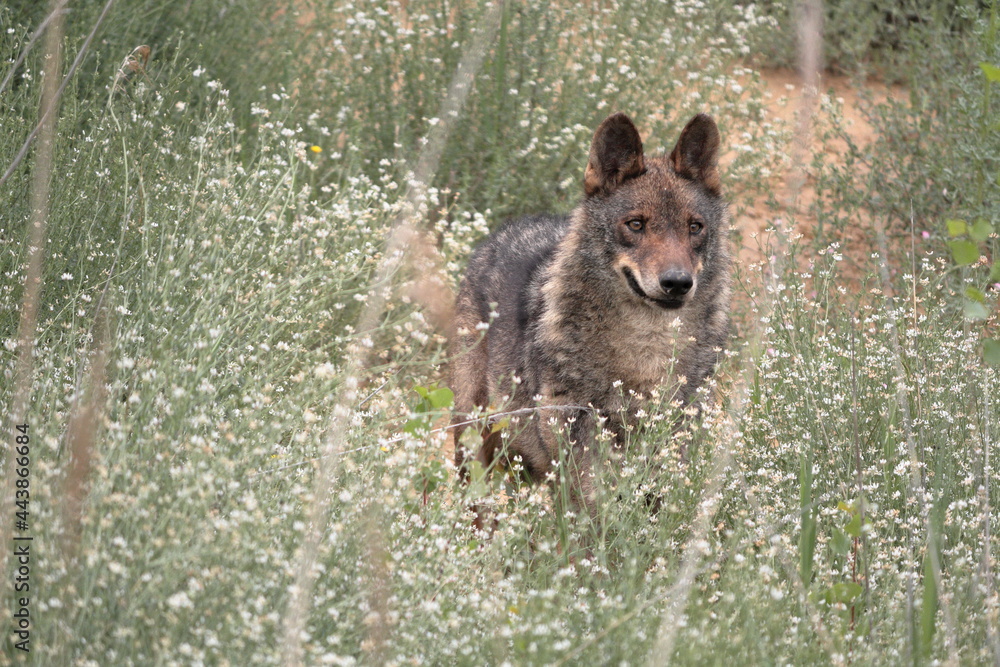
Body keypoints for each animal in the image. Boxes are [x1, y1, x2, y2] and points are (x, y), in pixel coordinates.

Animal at [450, 112, 731, 516]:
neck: (645, 353)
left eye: (695, 227)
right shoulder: (579, 453)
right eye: (635, 224)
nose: (677, 282)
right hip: (474, 437)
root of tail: (499, 234)